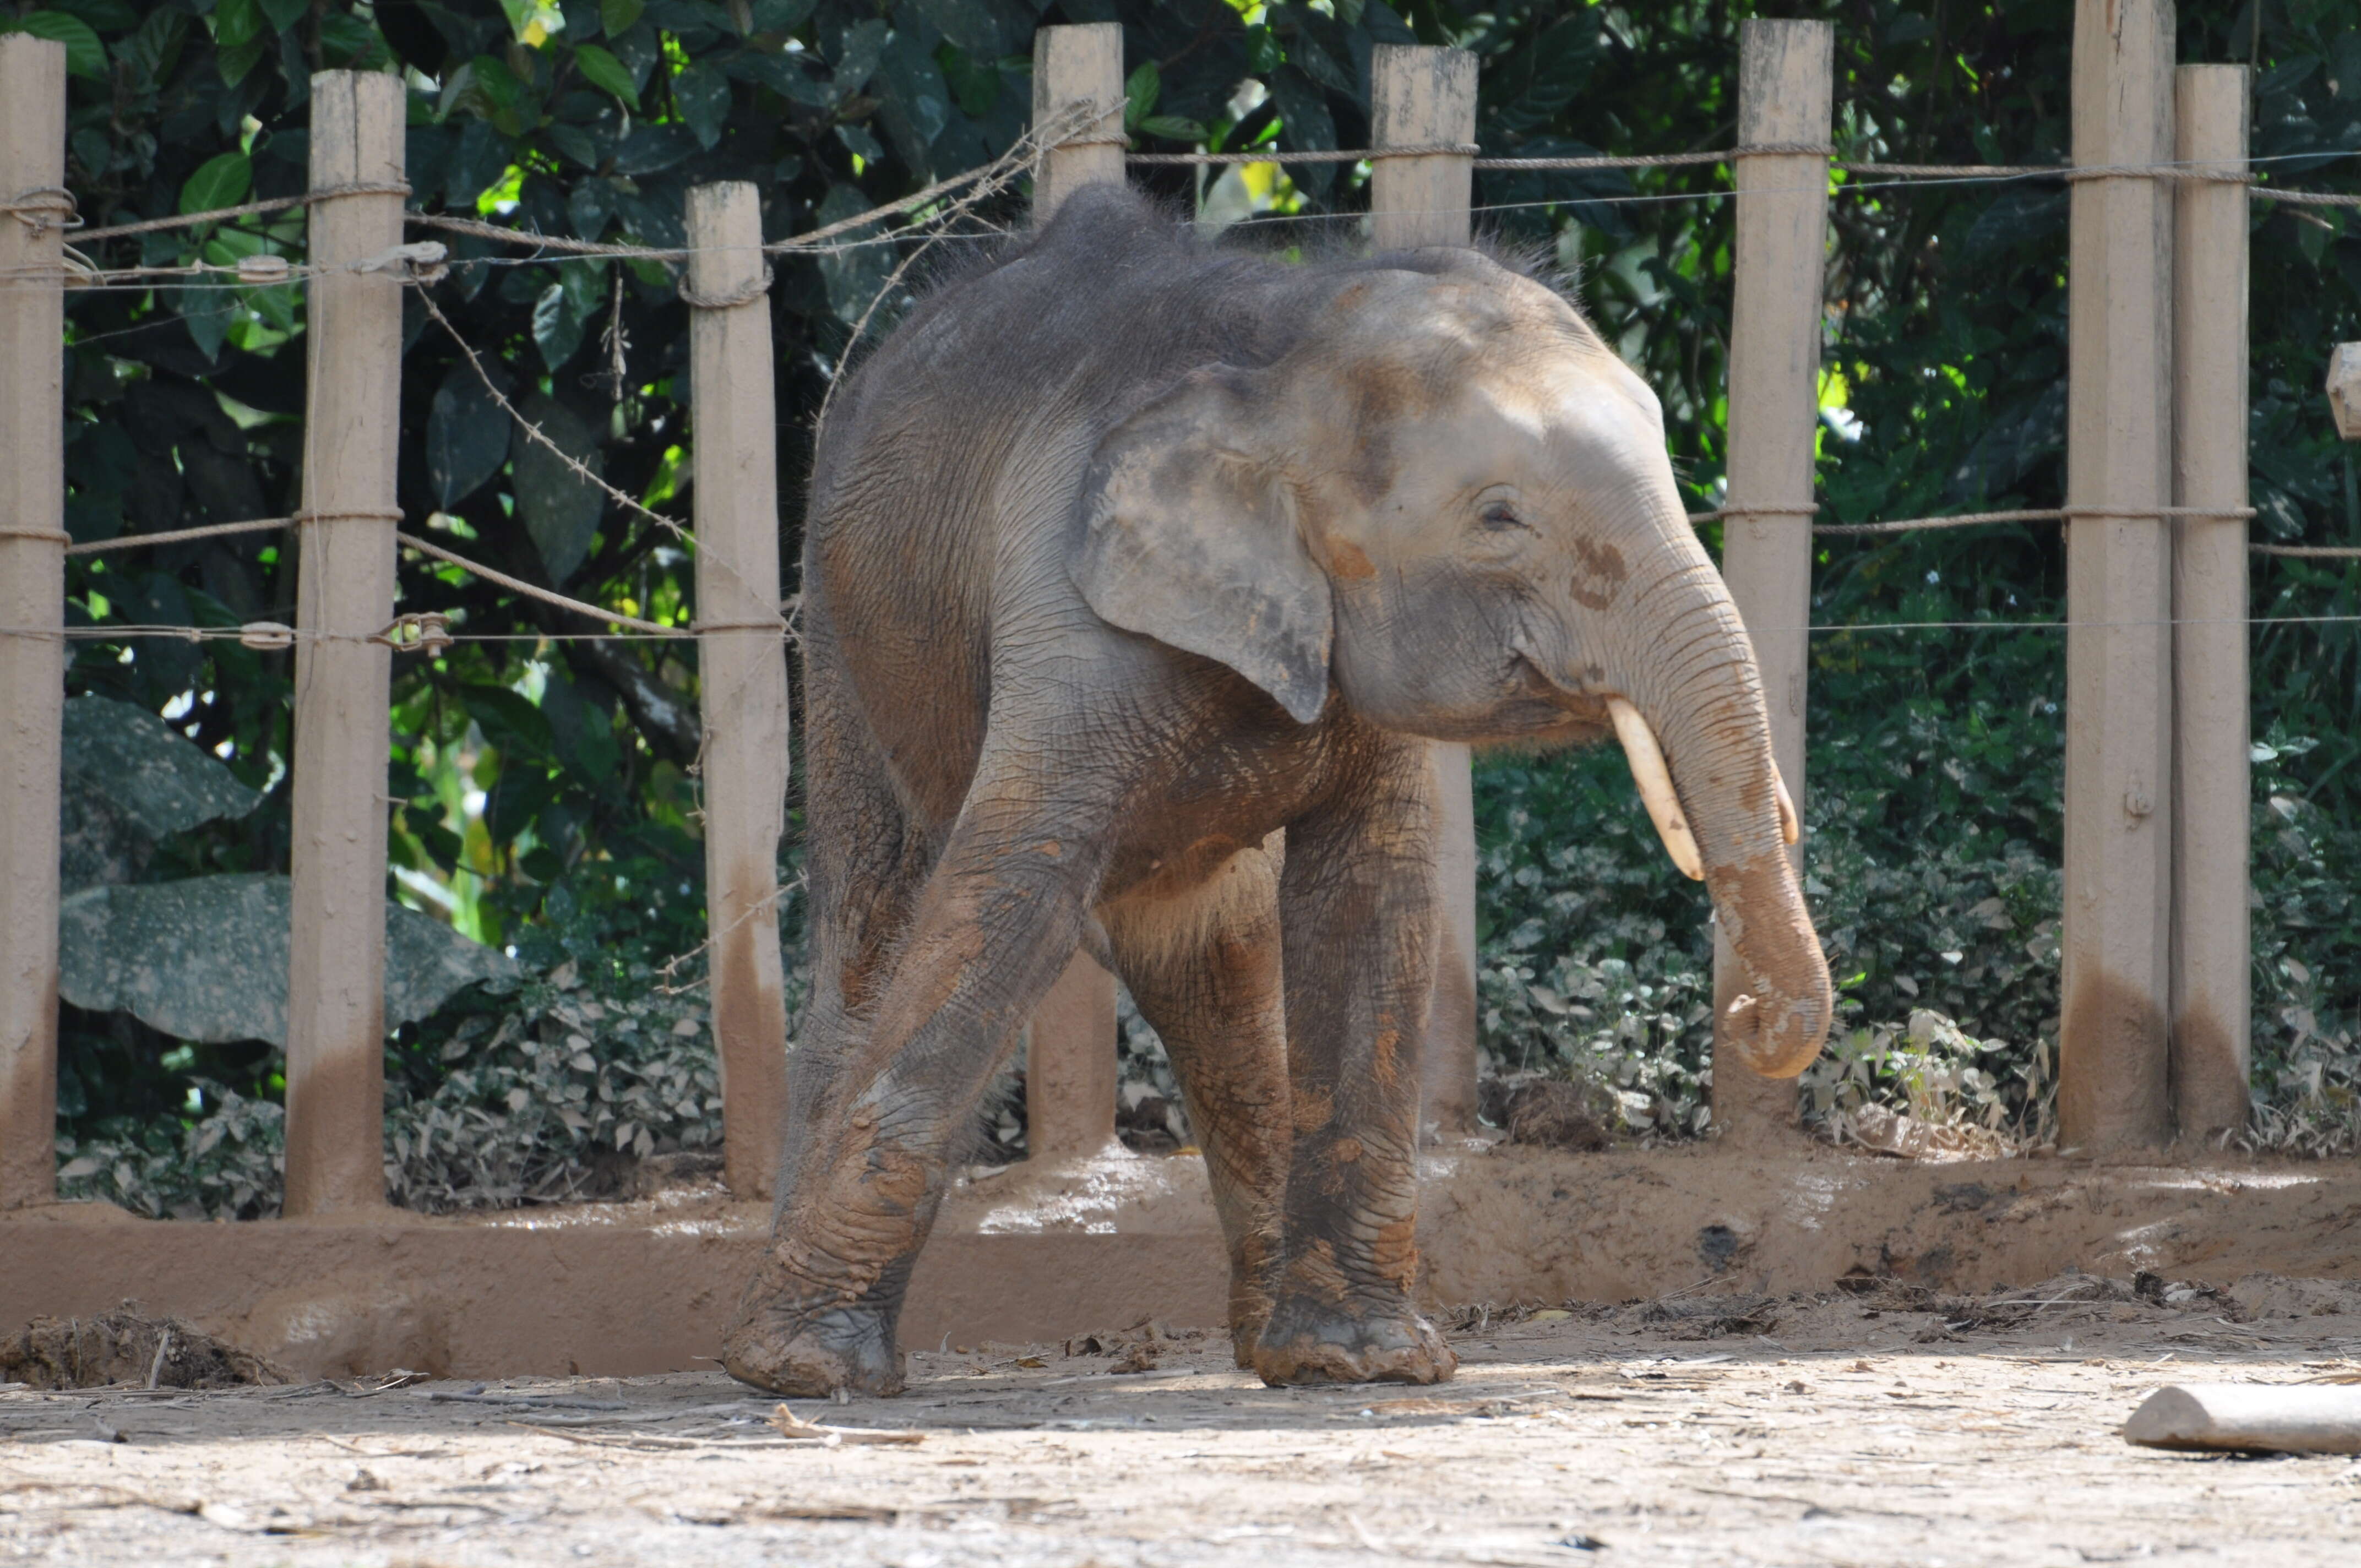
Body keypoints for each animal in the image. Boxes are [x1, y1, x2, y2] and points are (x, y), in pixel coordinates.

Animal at [727, 184, 1832, 1398]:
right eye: (1498, 516)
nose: (1750, 1018)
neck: (1286, 343)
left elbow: (1364, 901)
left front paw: (1371, 1361)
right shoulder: (1069, 609)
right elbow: (1010, 888)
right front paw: (806, 1372)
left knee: (1209, 959)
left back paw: (1275, 1348)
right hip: (839, 626)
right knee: (879, 919)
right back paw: (784, 1366)